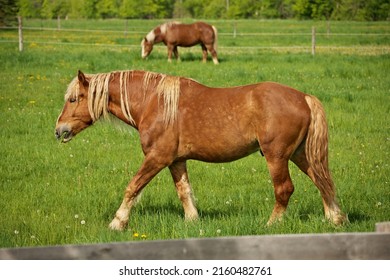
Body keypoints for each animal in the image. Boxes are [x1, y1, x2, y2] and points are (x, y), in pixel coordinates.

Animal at [55, 69, 348, 230]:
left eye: (73, 99)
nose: (59, 130)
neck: (154, 101)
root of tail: (304, 97)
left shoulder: (156, 158)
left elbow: (133, 187)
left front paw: (118, 222)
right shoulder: (176, 161)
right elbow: (184, 192)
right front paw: (193, 222)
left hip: (277, 157)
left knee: (285, 189)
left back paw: (271, 225)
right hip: (300, 155)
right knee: (323, 182)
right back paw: (335, 219)